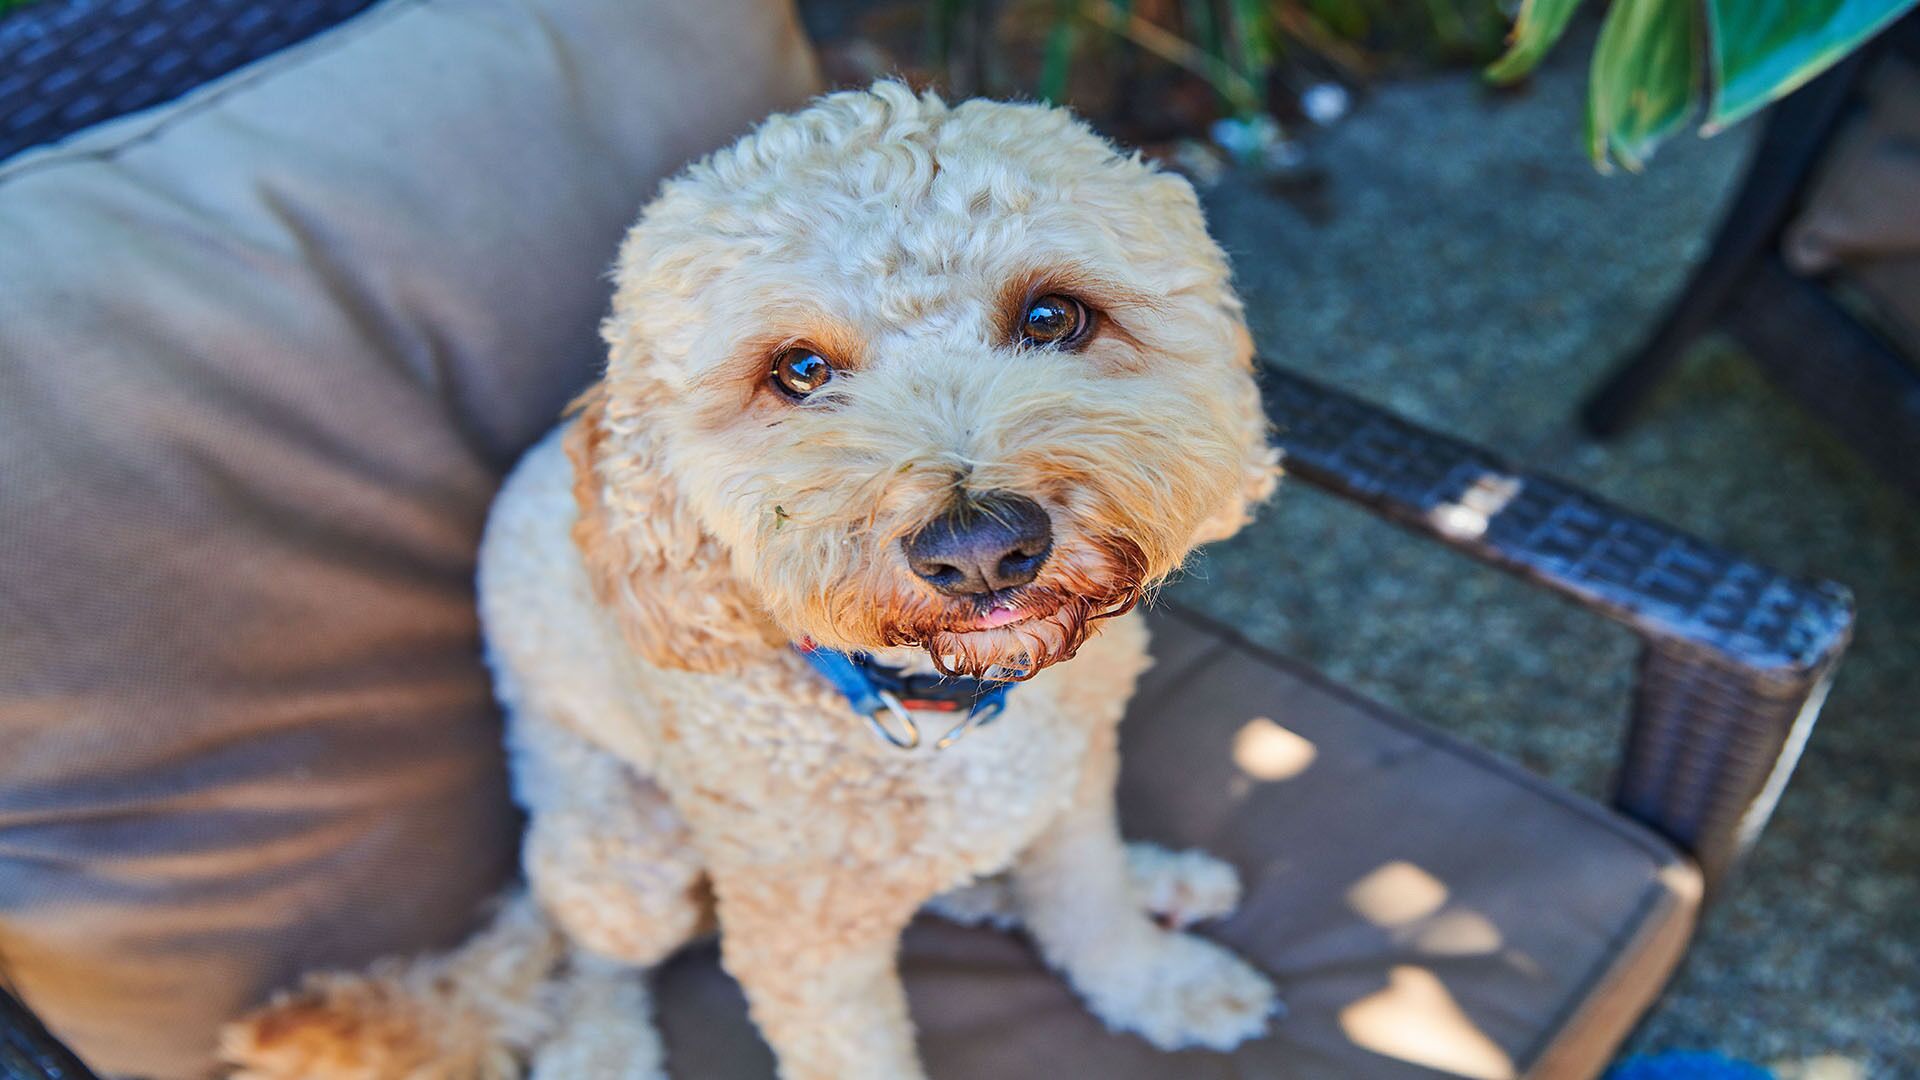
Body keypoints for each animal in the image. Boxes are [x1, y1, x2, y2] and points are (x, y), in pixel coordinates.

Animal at [220, 82, 1274, 1076]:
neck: (927, 703)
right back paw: (598, 1053)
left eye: (1053, 316)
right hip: (617, 852)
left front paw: (1155, 981)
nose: (981, 546)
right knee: (589, 958)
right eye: (798, 370)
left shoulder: (1077, 778)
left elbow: (1087, 898)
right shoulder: (802, 951)